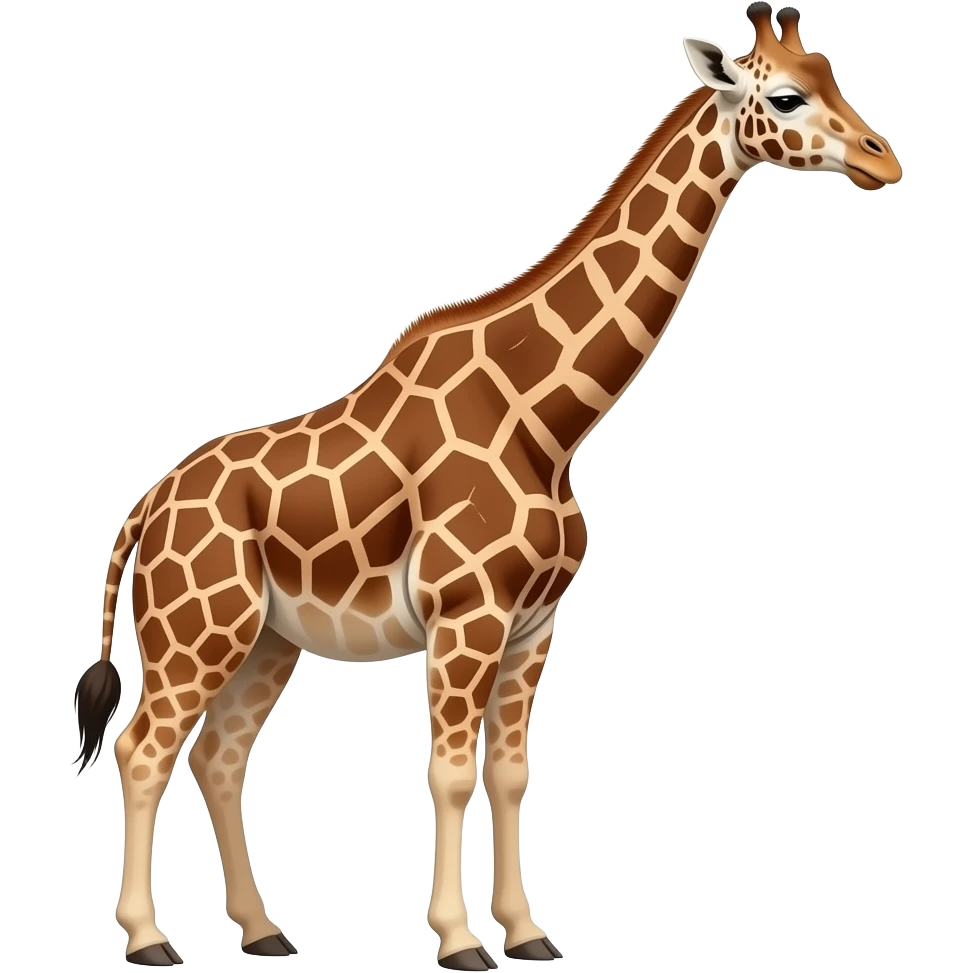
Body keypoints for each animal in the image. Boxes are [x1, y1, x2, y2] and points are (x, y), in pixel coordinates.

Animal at [73, 3, 901, 968]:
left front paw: (528, 931)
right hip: (198, 629)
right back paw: (147, 938)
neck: (550, 418)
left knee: (218, 753)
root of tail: (145, 506)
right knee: (143, 745)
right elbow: (449, 770)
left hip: (267, 638)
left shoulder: (534, 623)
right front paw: (460, 938)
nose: (884, 160)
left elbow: (509, 773)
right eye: (785, 96)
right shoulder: (465, 614)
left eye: (831, 74)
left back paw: (265, 928)